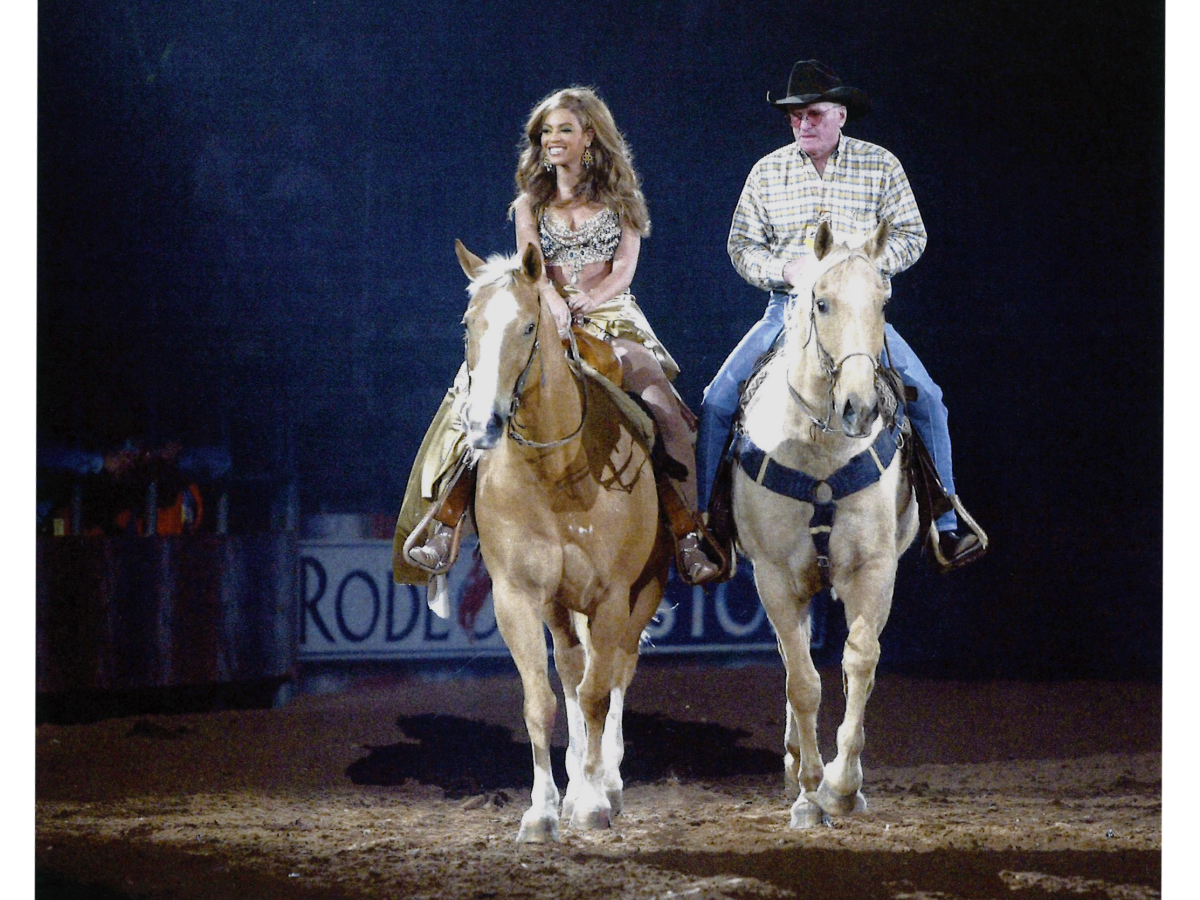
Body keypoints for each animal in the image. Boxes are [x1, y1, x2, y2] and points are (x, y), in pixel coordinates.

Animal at [451, 241, 672, 844]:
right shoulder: (517, 598)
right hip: (559, 606)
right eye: (468, 325)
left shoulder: (613, 597)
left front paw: (594, 801)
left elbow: (599, 694)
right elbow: (542, 700)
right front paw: (543, 810)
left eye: (528, 326)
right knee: (574, 673)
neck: (554, 473)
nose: (483, 424)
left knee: (615, 672)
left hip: (640, 594)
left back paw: (605, 783)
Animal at [729, 222, 916, 830]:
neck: (820, 455)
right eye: (822, 302)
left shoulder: (876, 568)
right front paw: (810, 793)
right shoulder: (772, 576)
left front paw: (841, 785)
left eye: (882, 301)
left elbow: (860, 662)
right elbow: (803, 681)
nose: (859, 406)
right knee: (793, 661)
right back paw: (794, 763)